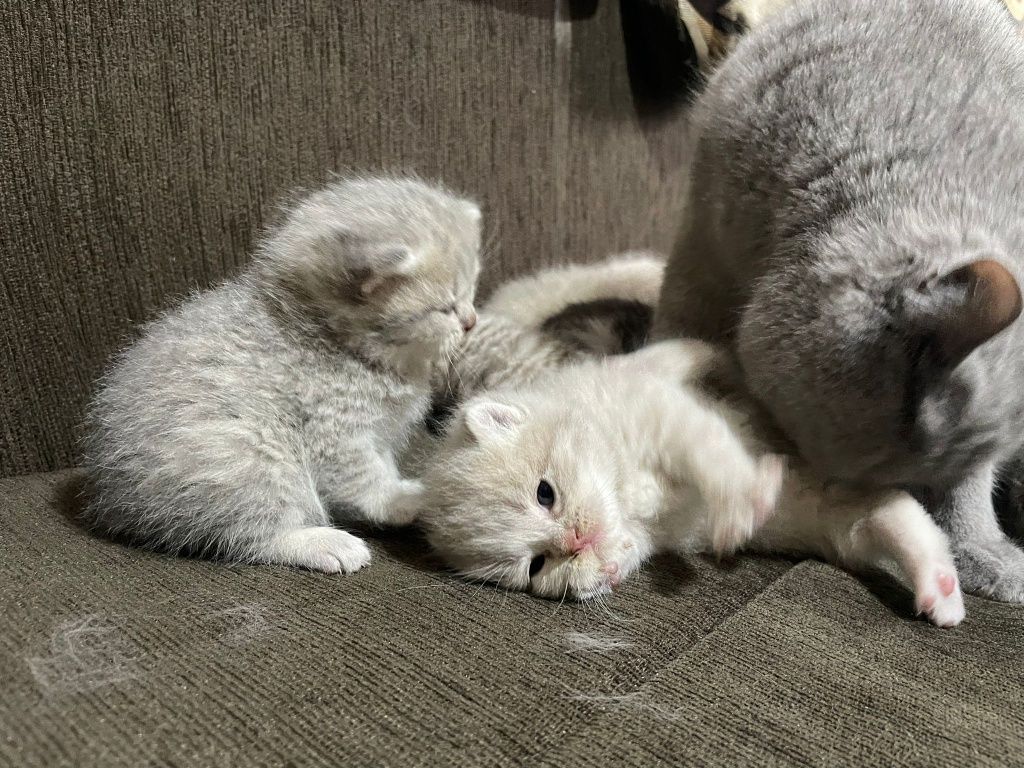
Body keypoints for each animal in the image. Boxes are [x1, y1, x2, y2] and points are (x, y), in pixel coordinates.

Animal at [81, 174, 481, 573]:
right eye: (445, 308)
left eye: (473, 290)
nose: (472, 321)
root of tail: (113, 499)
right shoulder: (334, 434)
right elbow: (366, 480)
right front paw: (403, 501)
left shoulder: (377, 433)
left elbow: (382, 463)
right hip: (250, 453)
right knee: (254, 535)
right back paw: (324, 543)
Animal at [419, 342, 962, 626]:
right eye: (537, 565)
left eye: (544, 494)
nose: (575, 540)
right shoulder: (648, 529)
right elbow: (625, 550)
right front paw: (602, 569)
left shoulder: (662, 408)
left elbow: (707, 444)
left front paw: (741, 504)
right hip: (832, 520)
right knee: (891, 509)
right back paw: (939, 588)